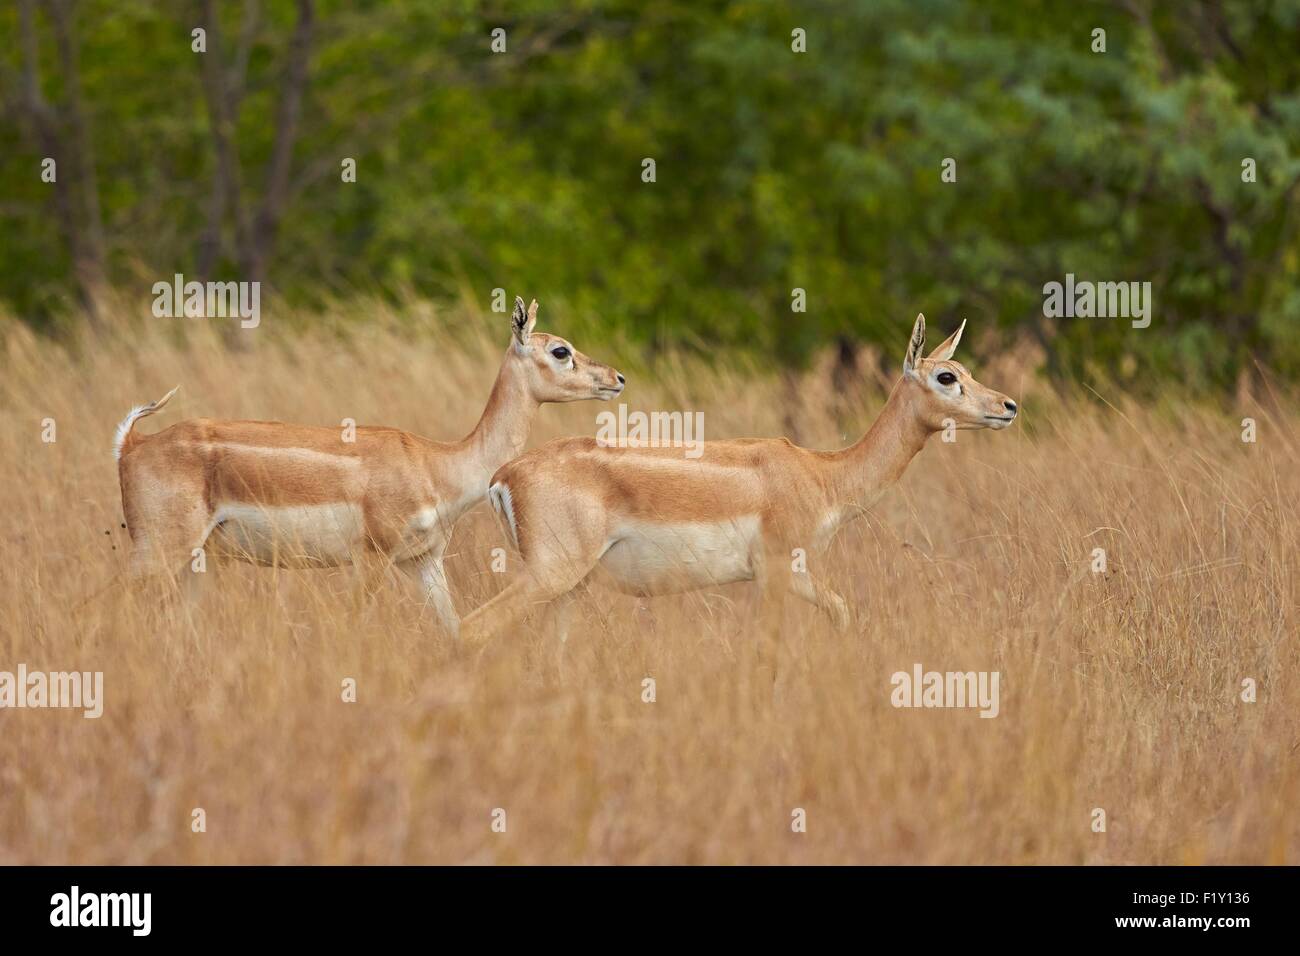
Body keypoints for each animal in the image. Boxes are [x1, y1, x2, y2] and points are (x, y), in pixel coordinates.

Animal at [113, 295, 624, 632]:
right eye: (560, 350)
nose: (617, 378)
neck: (435, 464)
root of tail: (132, 443)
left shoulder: (423, 561)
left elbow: (453, 627)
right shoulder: (372, 559)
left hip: (194, 561)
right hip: (159, 549)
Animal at [462, 317, 1019, 647]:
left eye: (965, 368)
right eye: (946, 377)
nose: (1008, 406)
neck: (823, 474)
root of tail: (504, 477)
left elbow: (842, 613)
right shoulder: (777, 574)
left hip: (567, 590)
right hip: (549, 577)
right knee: (469, 629)